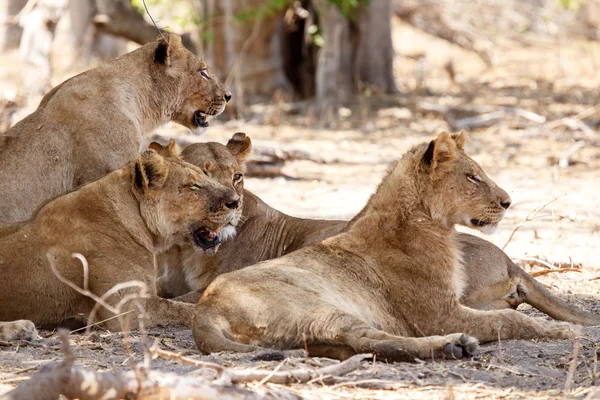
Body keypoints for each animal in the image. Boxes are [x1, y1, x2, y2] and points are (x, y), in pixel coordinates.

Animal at [0, 142, 239, 340]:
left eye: (205, 176)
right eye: (193, 186)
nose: (235, 201)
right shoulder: (127, 310)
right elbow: (187, 308)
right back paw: (20, 328)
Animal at [190, 132, 580, 362]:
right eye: (472, 177)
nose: (508, 202)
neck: (433, 224)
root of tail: (205, 309)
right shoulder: (439, 314)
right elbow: (509, 317)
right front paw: (558, 331)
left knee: (353, 345)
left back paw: (455, 346)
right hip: (319, 307)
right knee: (366, 339)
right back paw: (453, 345)